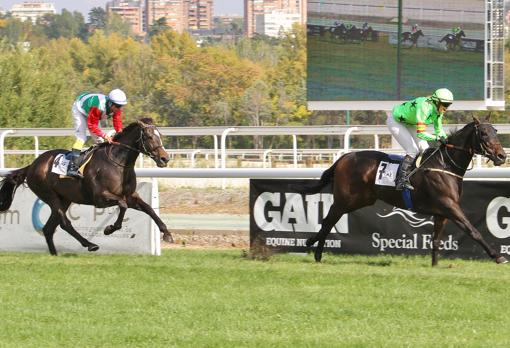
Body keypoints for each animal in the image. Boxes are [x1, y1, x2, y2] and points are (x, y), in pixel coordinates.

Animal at [0, 118, 172, 254]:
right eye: (149, 136)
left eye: (160, 136)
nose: (165, 158)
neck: (119, 163)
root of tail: (33, 165)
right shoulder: (100, 198)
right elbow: (122, 205)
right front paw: (109, 228)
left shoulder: (131, 196)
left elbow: (149, 209)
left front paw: (167, 234)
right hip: (49, 195)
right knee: (64, 223)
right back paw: (89, 244)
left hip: (64, 199)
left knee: (48, 228)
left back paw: (55, 254)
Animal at [304, 117, 508, 266]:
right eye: (483, 133)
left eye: (495, 131)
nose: (502, 156)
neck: (445, 165)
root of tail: (344, 157)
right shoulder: (450, 206)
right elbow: (473, 231)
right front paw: (498, 256)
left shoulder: (441, 212)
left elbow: (436, 239)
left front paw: (435, 266)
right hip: (345, 199)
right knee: (328, 220)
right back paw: (314, 248)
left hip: (361, 199)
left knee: (330, 220)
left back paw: (314, 247)